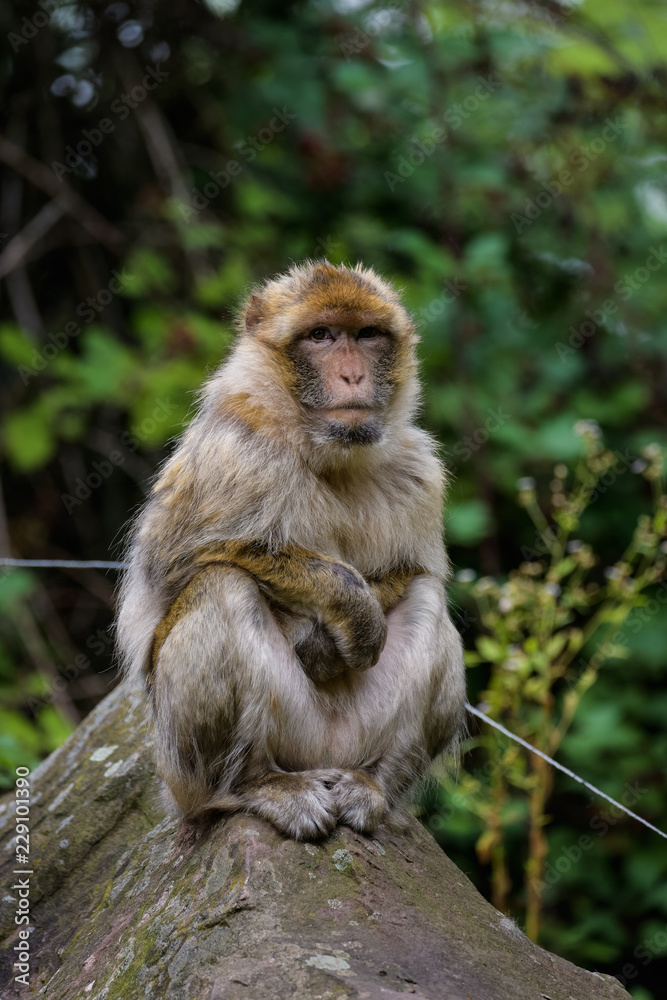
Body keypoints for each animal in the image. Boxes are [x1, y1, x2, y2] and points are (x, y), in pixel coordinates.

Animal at [117, 262, 464, 840]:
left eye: (367, 335)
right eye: (321, 335)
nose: (352, 376)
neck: (325, 451)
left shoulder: (420, 471)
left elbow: (412, 570)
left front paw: (334, 637)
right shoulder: (235, 450)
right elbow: (181, 566)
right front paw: (346, 610)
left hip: (349, 739)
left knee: (426, 596)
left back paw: (372, 786)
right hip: (194, 769)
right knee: (220, 584)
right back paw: (252, 786)